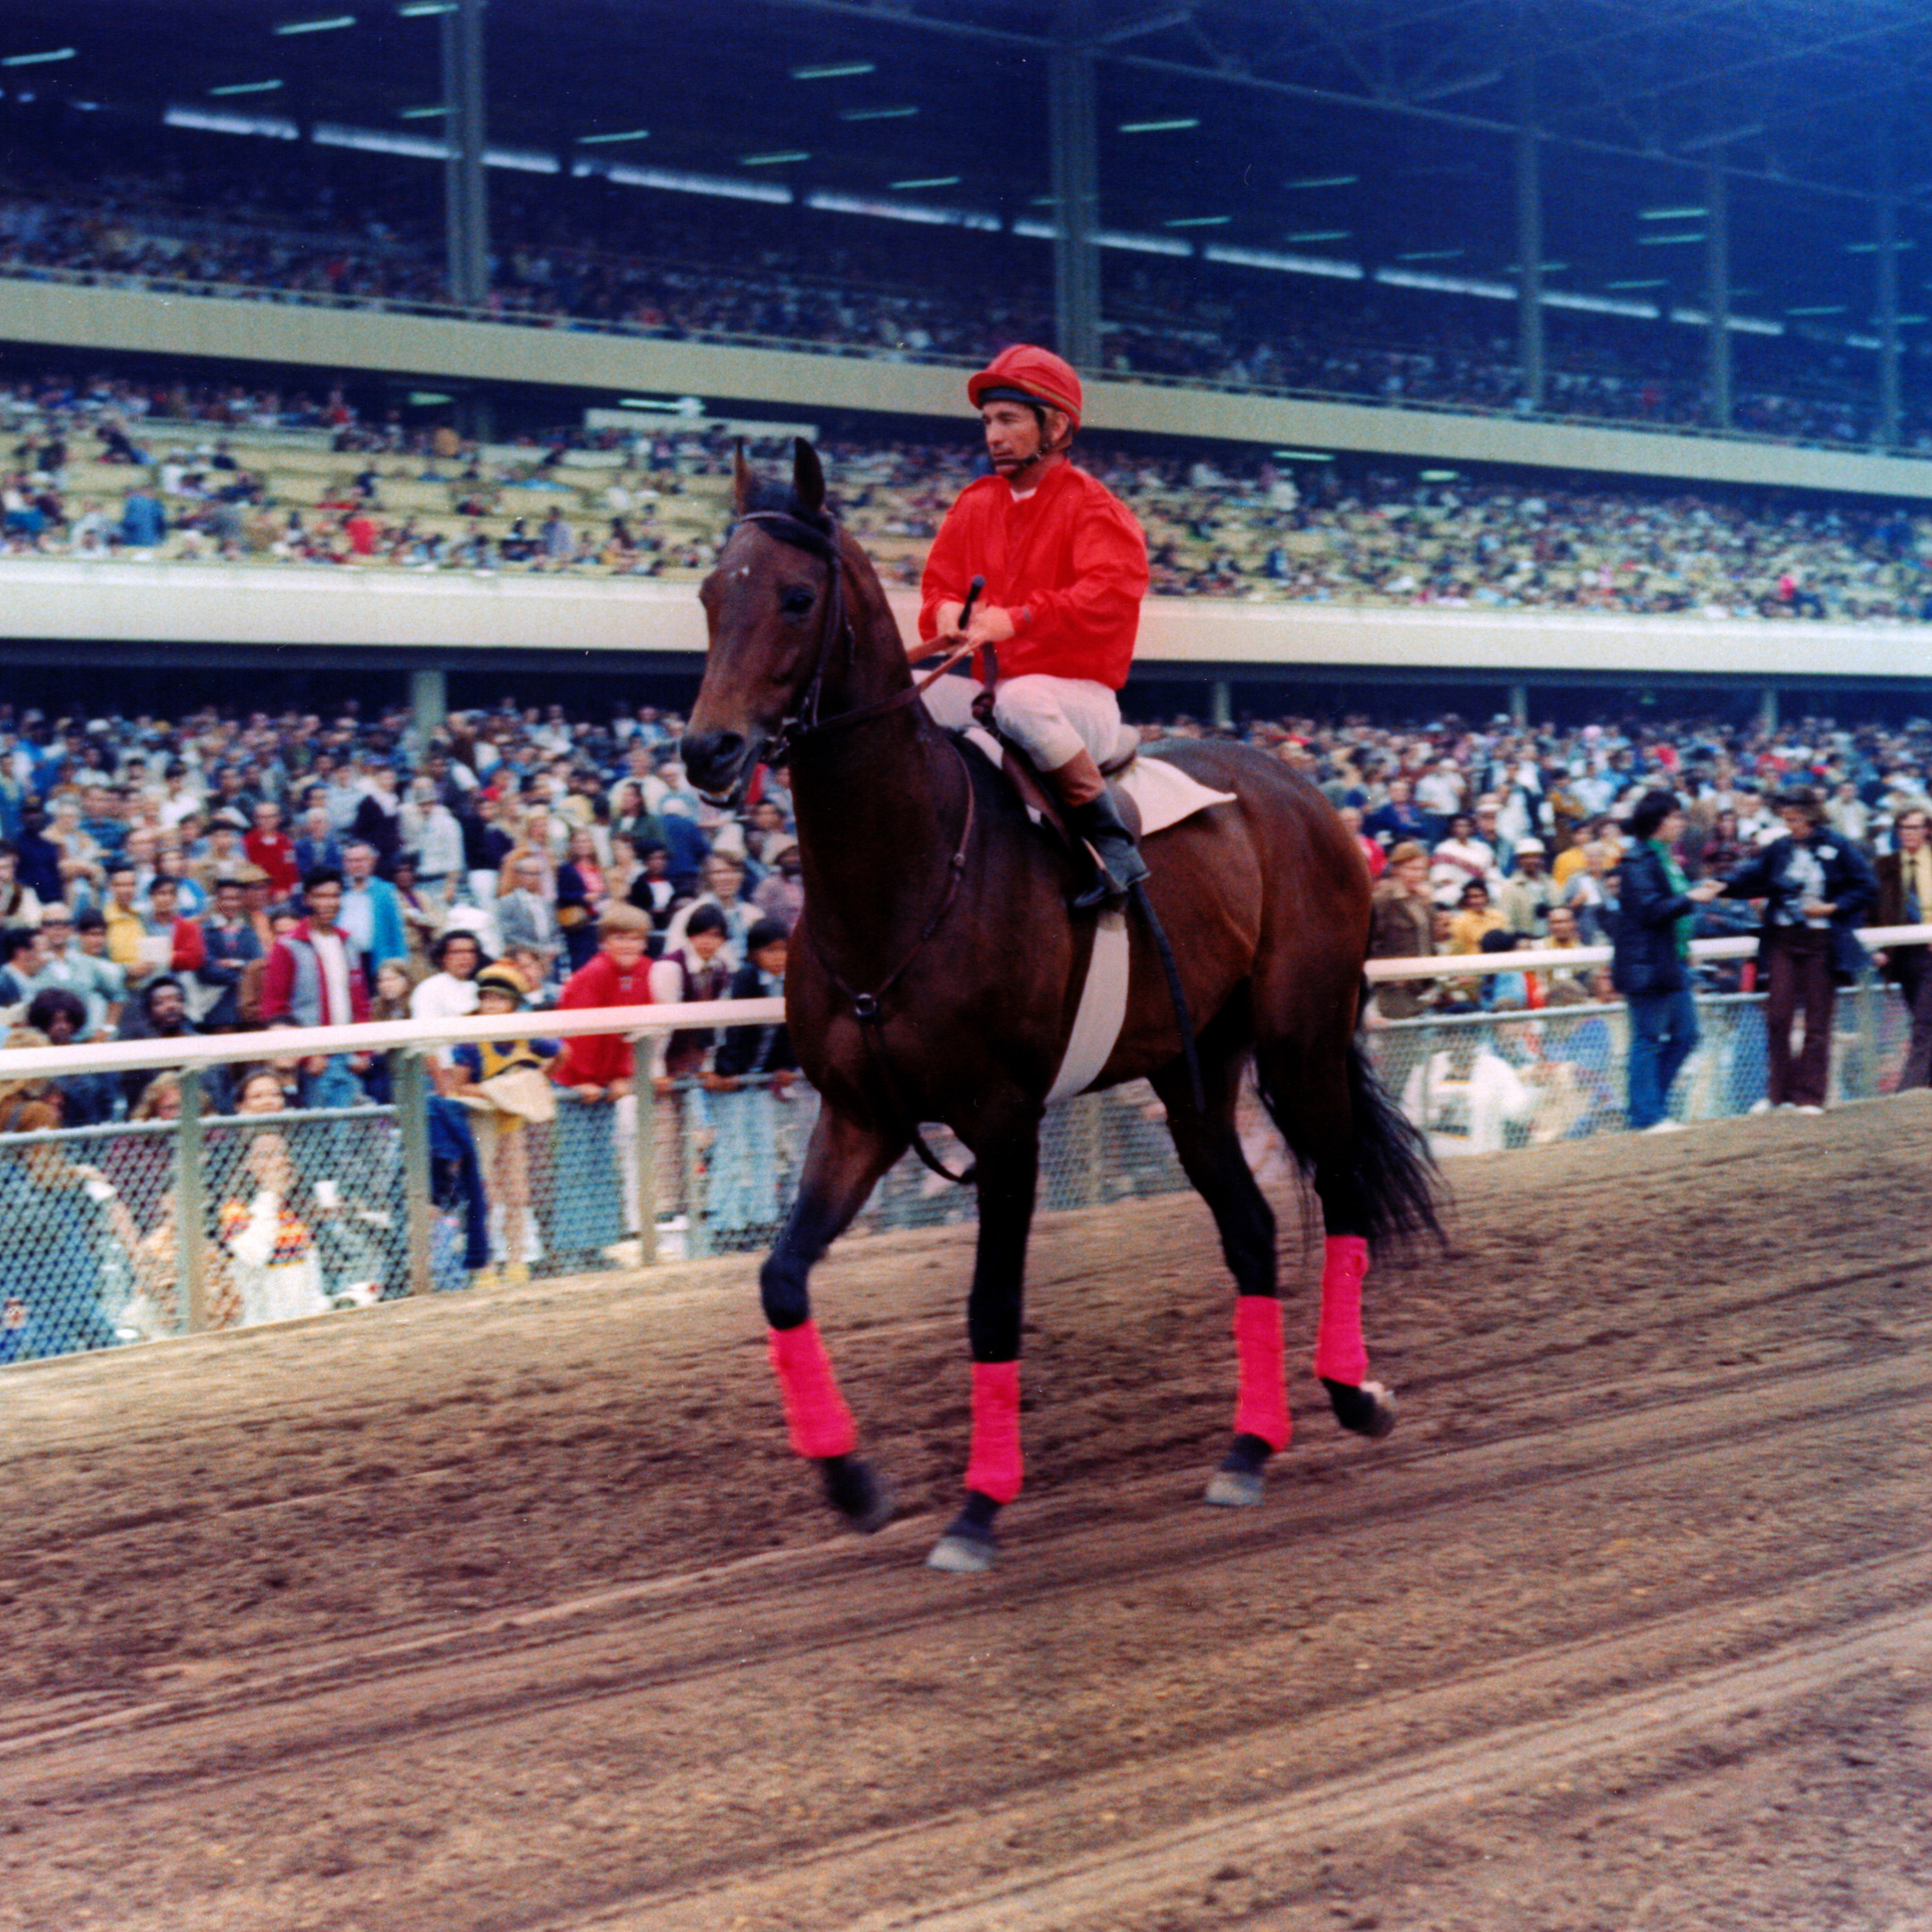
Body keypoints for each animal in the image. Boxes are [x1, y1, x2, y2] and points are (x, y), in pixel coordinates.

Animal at [680, 444, 1437, 1576]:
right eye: (707, 595)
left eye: (796, 597)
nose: (708, 753)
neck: (907, 876)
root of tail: (1302, 792)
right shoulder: (860, 1115)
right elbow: (780, 1278)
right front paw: (853, 1482)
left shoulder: (1003, 1121)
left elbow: (992, 1308)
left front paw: (977, 1509)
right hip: (1194, 1074)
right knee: (1253, 1231)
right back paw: (1249, 1448)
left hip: (1300, 1042)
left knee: (1341, 1196)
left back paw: (1354, 1393)